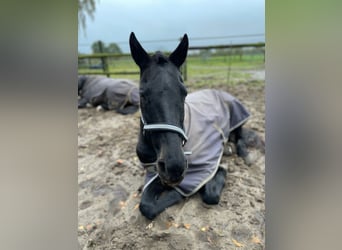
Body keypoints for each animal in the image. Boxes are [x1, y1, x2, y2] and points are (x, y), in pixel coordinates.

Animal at [129, 32, 264, 220]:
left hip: (236, 119)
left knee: (240, 136)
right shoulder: (153, 172)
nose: (174, 166)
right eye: (142, 94)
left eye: (184, 92)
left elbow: (208, 193)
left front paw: (220, 171)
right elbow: (146, 206)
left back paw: (244, 154)